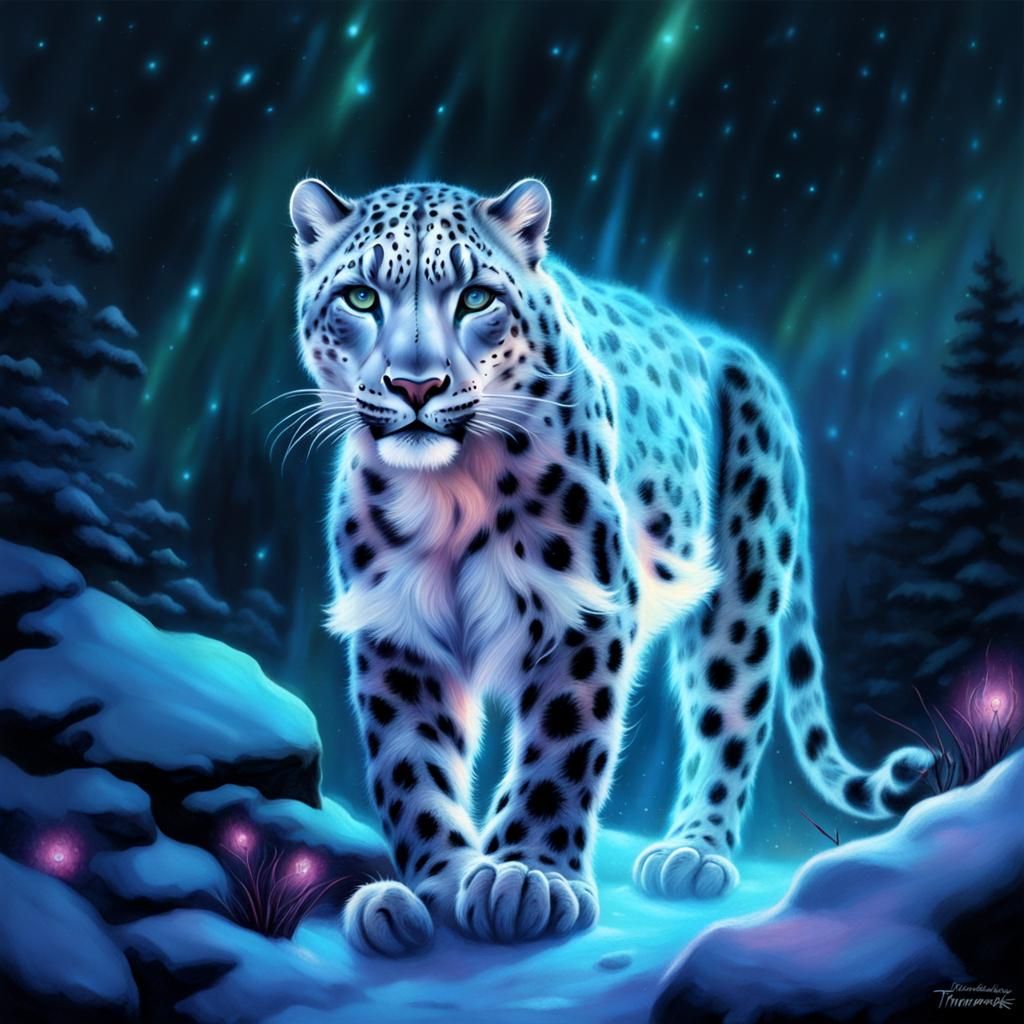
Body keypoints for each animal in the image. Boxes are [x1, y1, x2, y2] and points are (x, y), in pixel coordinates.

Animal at [287, 176, 933, 957]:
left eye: (475, 298)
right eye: (360, 297)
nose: (417, 386)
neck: (451, 494)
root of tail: (724, 342)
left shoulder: (583, 608)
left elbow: (562, 745)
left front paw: (529, 879)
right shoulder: (397, 632)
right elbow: (411, 766)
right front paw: (440, 882)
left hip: (746, 587)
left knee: (731, 710)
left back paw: (692, 852)